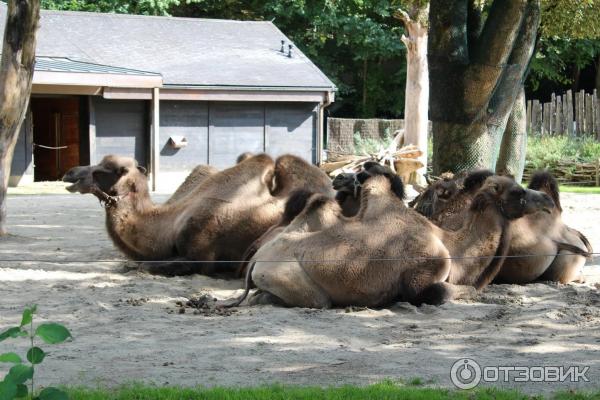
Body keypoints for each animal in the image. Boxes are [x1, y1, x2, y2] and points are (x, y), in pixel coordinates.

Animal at [227, 164, 556, 308]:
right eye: (518, 192)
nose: (548, 201)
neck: (453, 247)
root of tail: (257, 260)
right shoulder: (420, 280)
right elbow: (447, 292)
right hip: (295, 283)